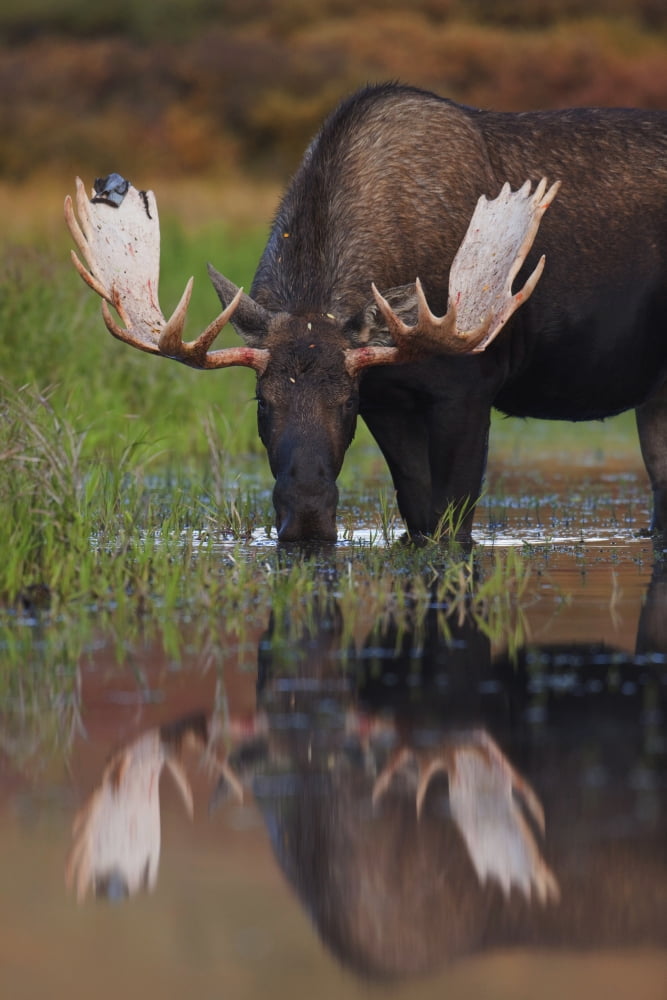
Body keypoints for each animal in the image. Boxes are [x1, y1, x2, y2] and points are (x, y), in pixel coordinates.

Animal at [65, 83, 667, 543]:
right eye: (262, 402)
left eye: (345, 402)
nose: (307, 519)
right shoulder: (390, 400)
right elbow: (419, 517)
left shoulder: (469, 388)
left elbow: (452, 526)